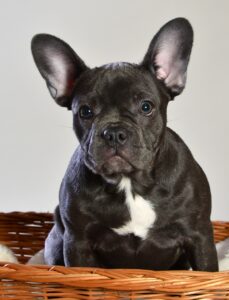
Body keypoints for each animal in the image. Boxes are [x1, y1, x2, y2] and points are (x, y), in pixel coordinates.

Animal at [30, 18, 218, 272]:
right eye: (85, 111)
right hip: (55, 240)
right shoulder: (77, 242)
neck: (129, 183)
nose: (114, 133)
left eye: (146, 107)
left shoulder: (199, 237)